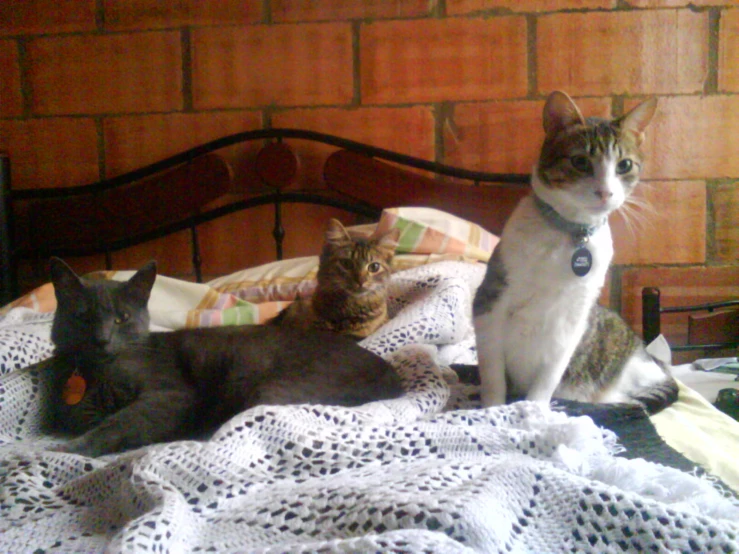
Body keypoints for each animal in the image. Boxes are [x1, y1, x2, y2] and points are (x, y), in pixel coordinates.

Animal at [44, 256, 404, 454]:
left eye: (121, 318)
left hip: (268, 389)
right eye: (83, 317)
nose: (102, 339)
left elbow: (119, 422)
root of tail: (393, 377)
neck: (97, 374)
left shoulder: (170, 394)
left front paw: (72, 448)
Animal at [474, 89, 676, 410]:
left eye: (624, 165)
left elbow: (548, 377)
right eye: (580, 162)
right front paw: (493, 411)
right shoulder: (489, 305)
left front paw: (533, 410)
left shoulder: (573, 321)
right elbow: (493, 375)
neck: (570, 234)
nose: (605, 192)